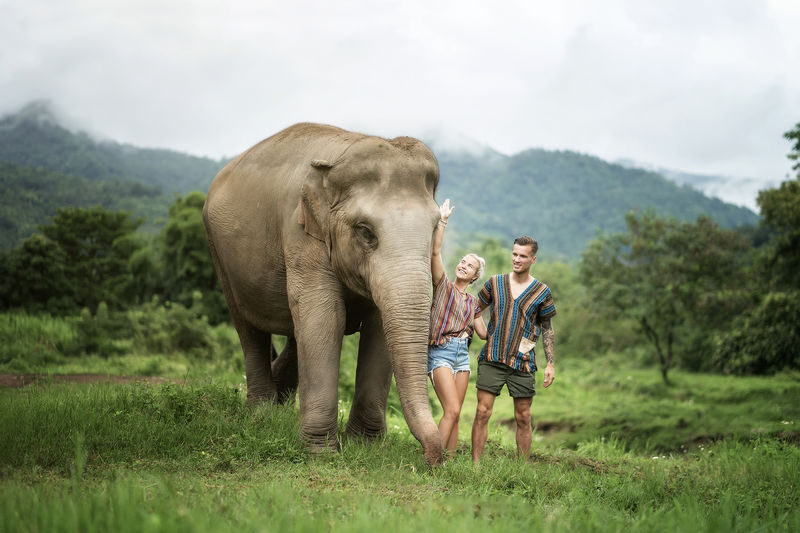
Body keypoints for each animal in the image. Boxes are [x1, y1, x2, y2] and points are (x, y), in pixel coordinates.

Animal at [203, 123, 444, 466]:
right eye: (365, 231)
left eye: (436, 228)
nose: (433, 459)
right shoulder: (301, 235)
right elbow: (325, 317)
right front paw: (320, 454)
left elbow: (378, 326)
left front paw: (364, 447)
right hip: (220, 254)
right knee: (249, 329)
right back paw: (261, 415)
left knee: (294, 332)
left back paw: (278, 408)